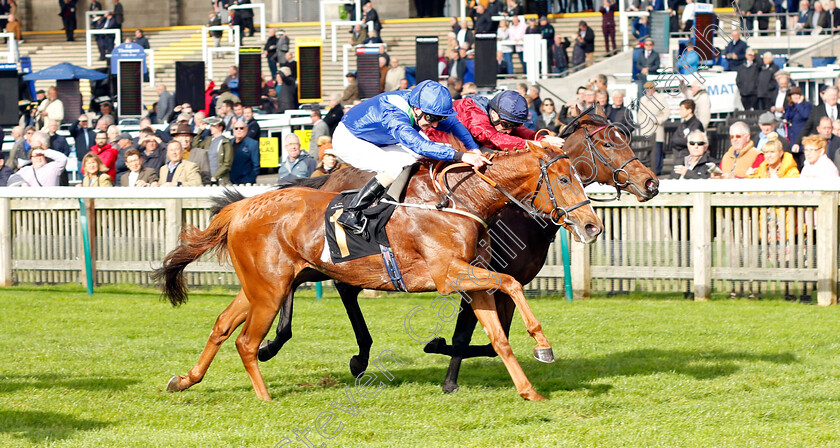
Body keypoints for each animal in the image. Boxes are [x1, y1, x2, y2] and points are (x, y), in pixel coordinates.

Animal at [156, 139, 604, 400]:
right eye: (564, 179)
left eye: (580, 176)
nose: (592, 226)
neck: (462, 201)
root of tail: (242, 207)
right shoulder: (449, 275)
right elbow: (511, 283)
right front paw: (542, 344)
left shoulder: (472, 278)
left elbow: (498, 338)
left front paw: (529, 392)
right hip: (270, 290)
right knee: (247, 342)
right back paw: (265, 397)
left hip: (261, 287)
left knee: (221, 325)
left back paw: (185, 380)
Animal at [260, 106, 660, 392]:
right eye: (608, 144)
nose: (651, 183)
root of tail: (330, 175)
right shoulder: (472, 274)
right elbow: (464, 334)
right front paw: (447, 372)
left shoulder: (504, 280)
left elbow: (491, 338)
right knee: (332, 287)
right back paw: (310, 348)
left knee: (315, 282)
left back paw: (286, 343)